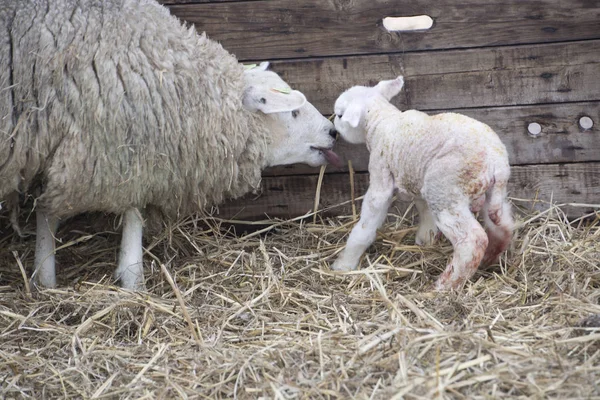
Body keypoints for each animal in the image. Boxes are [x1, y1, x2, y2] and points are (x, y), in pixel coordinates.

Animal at [0, 0, 342, 290]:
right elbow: (123, 209)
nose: (332, 132)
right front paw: (130, 278)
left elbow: (50, 208)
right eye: (293, 112)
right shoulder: (109, 147)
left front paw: (45, 277)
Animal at [330, 76, 512, 290]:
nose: (333, 129)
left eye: (340, 115)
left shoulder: (380, 175)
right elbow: (424, 211)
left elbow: (366, 224)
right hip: (489, 192)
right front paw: (425, 240)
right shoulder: (416, 179)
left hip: (444, 189)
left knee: (473, 240)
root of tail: (496, 162)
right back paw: (490, 258)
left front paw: (344, 264)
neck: (381, 122)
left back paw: (446, 284)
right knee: (503, 224)